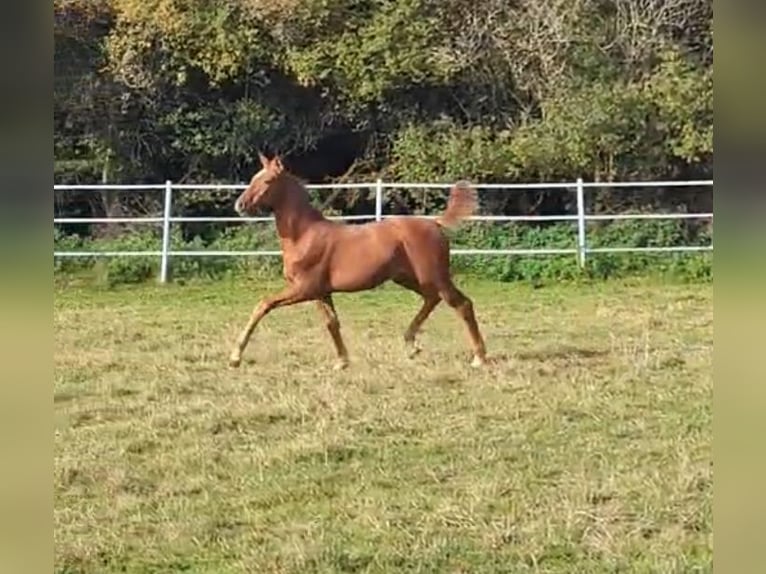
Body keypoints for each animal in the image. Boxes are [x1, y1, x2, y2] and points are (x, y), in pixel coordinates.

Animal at [228, 152, 488, 374]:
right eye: (253, 178)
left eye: (268, 180)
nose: (239, 205)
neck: (303, 236)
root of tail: (435, 223)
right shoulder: (320, 292)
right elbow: (332, 323)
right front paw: (342, 362)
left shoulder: (304, 288)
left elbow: (263, 305)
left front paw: (235, 357)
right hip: (409, 278)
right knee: (432, 299)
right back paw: (412, 344)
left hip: (435, 276)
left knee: (462, 304)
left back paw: (479, 357)